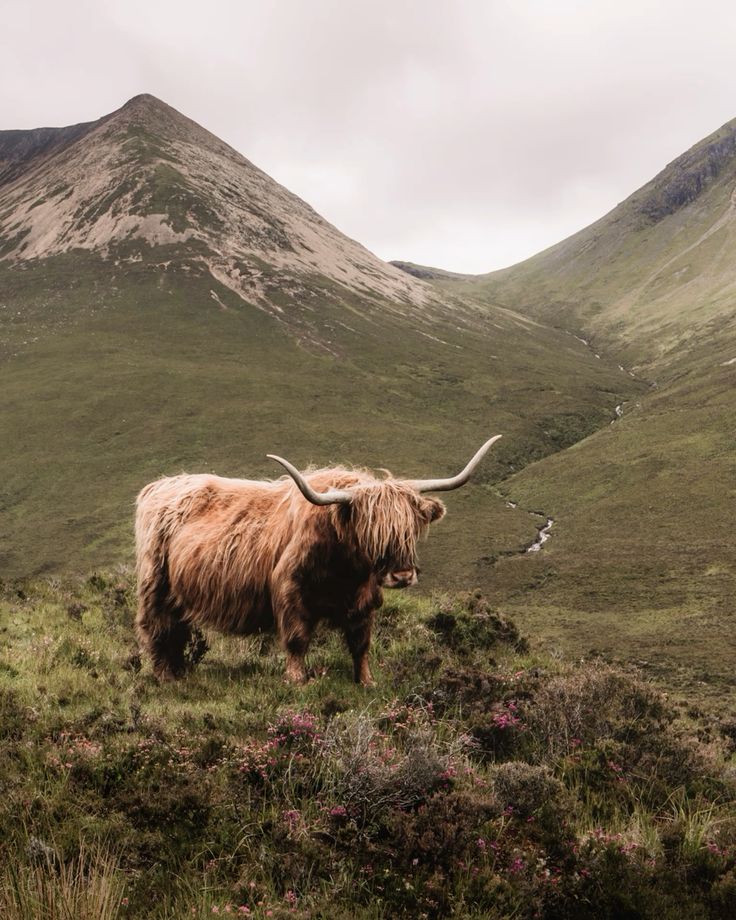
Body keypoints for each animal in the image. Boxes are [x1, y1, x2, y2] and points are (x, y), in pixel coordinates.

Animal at [134, 436, 500, 684]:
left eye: (410, 529)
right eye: (372, 530)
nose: (401, 576)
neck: (346, 570)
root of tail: (160, 485)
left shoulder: (365, 600)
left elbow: (361, 644)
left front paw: (366, 681)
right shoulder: (289, 591)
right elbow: (297, 639)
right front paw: (297, 680)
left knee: (177, 630)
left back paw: (180, 672)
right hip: (156, 585)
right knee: (157, 629)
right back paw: (166, 677)